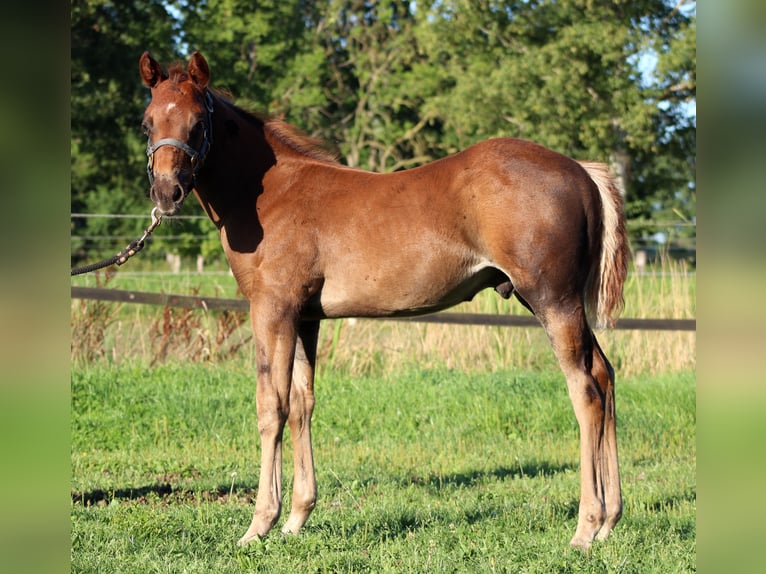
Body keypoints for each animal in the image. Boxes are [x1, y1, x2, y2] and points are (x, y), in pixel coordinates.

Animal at [138, 51, 629, 550]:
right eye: (147, 123)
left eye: (198, 123)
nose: (166, 193)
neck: (270, 193)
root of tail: (582, 171)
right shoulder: (306, 318)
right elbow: (302, 403)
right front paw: (296, 519)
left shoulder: (272, 310)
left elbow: (271, 407)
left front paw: (259, 525)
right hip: (558, 303)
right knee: (604, 375)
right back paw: (610, 521)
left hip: (553, 300)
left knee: (585, 390)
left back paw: (586, 527)